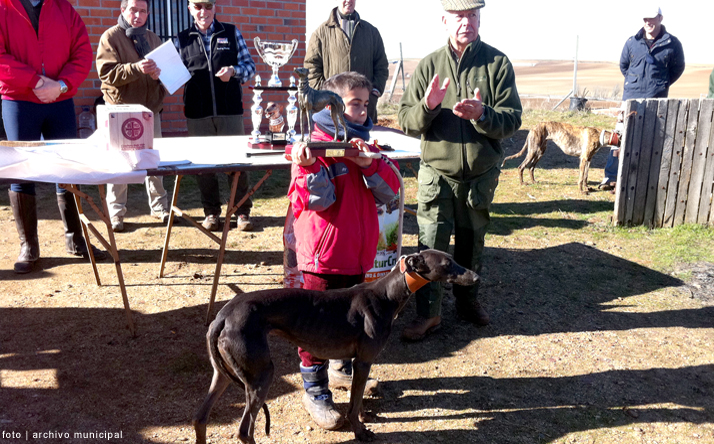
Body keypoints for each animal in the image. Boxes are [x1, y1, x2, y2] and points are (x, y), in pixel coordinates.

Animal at [192, 250, 476, 444]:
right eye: (447, 264)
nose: (476, 276)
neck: (387, 293)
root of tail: (222, 316)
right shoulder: (364, 361)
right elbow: (353, 403)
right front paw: (360, 431)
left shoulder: (359, 363)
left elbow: (356, 397)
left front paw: (364, 416)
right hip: (261, 373)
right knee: (243, 431)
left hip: (225, 373)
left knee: (200, 418)